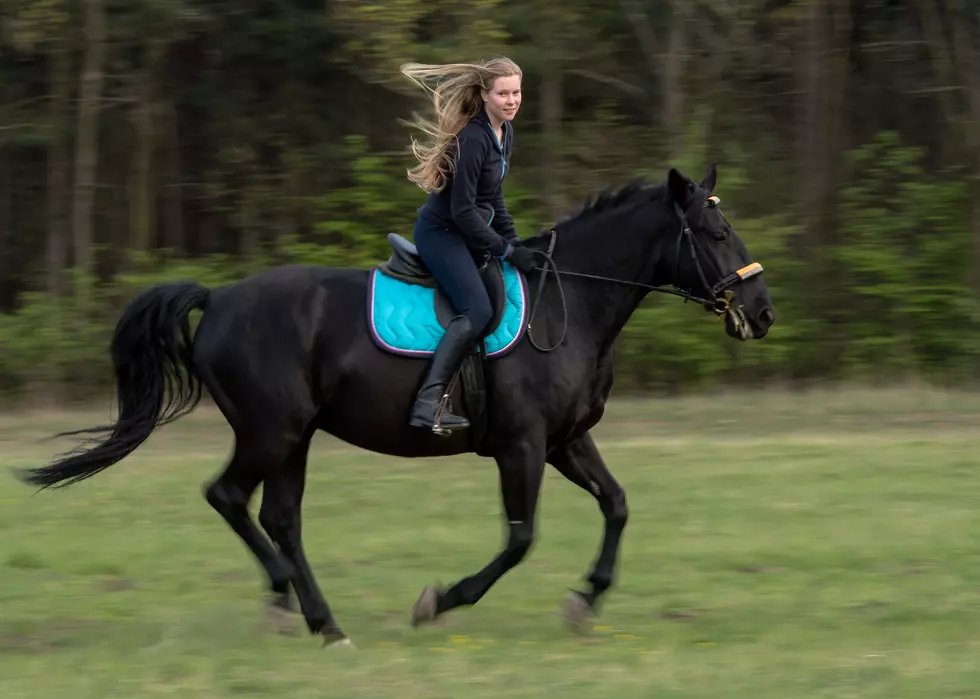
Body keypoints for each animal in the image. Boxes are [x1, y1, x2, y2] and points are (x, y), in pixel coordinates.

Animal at [17, 163, 772, 644]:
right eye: (714, 234)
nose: (763, 312)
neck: (572, 301)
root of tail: (220, 297)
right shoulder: (522, 445)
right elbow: (520, 539)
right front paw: (438, 601)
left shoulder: (565, 441)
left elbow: (616, 505)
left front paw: (584, 602)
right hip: (272, 430)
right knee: (229, 497)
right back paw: (303, 609)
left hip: (294, 438)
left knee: (279, 517)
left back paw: (312, 616)